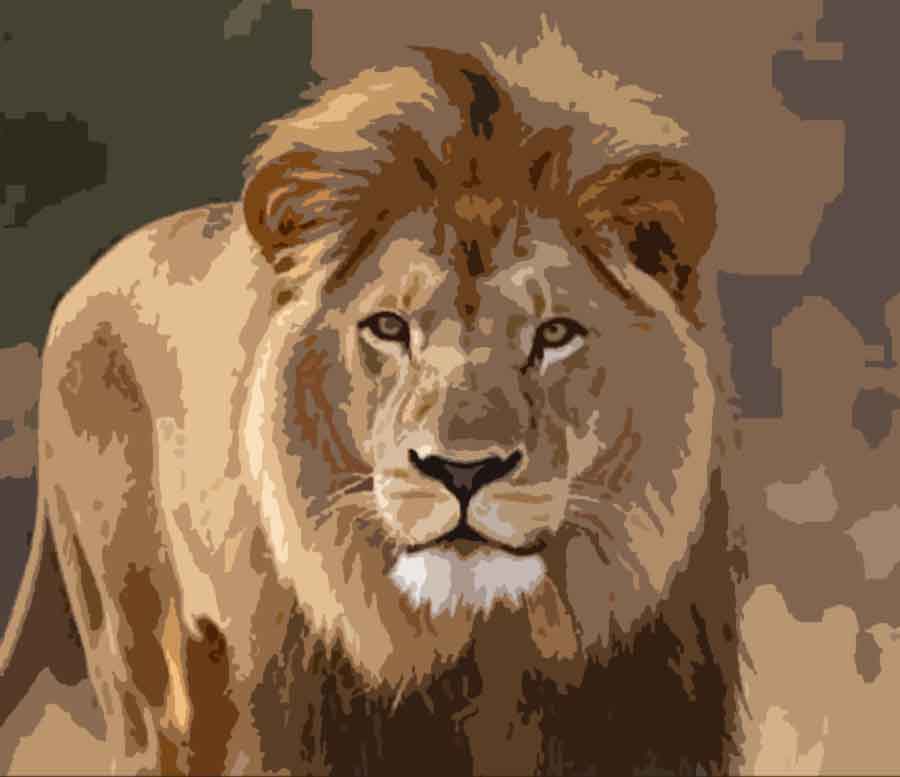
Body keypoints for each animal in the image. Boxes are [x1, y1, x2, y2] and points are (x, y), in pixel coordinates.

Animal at [0, 35, 744, 777]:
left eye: (555, 334)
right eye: (388, 326)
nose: (463, 471)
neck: (486, 655)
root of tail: (84, 282)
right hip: (148, 673)